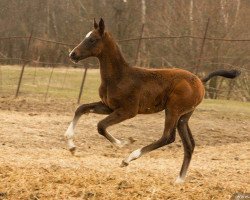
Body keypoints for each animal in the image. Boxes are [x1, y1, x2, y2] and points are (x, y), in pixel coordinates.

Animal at [65, 18, 241, 183]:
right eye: (86, 37)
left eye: (92, 39)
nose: (72, 55)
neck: (119, 77)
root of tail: (200, 81)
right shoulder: (108, 106)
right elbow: (81, 108)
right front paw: (71, 145)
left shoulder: (128, 111)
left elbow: (101, 126)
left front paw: (123, 143)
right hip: (183, 117)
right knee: (189, 144)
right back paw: (179, 180)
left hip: (173, 110)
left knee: (168, 137)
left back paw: (129, 158)